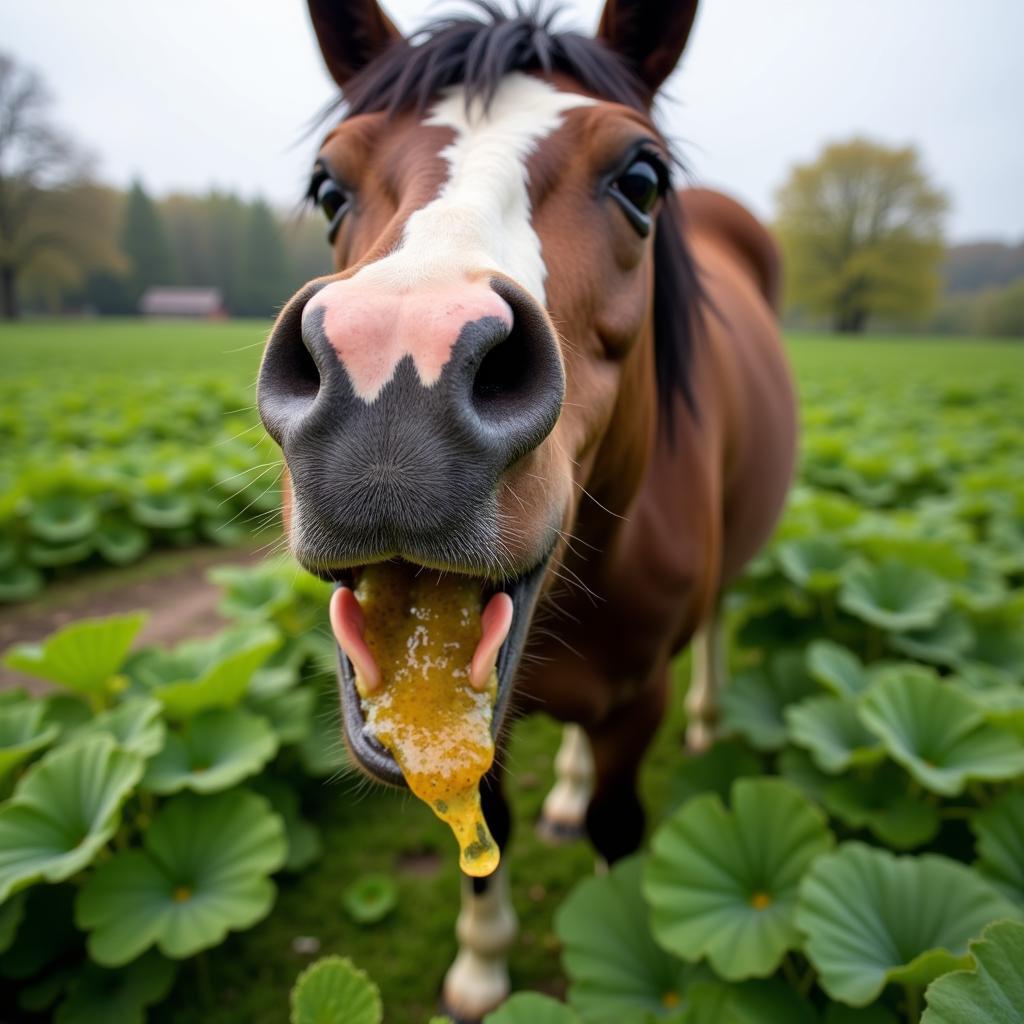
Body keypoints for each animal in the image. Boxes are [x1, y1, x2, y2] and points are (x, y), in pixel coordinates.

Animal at [253, 0, 790, 1015]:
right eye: (328, 188)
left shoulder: (638, 703)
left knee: (718, 623)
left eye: (641, 178)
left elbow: (620, 832)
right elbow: (481, 820)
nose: (396, 375)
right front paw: (481, 965)